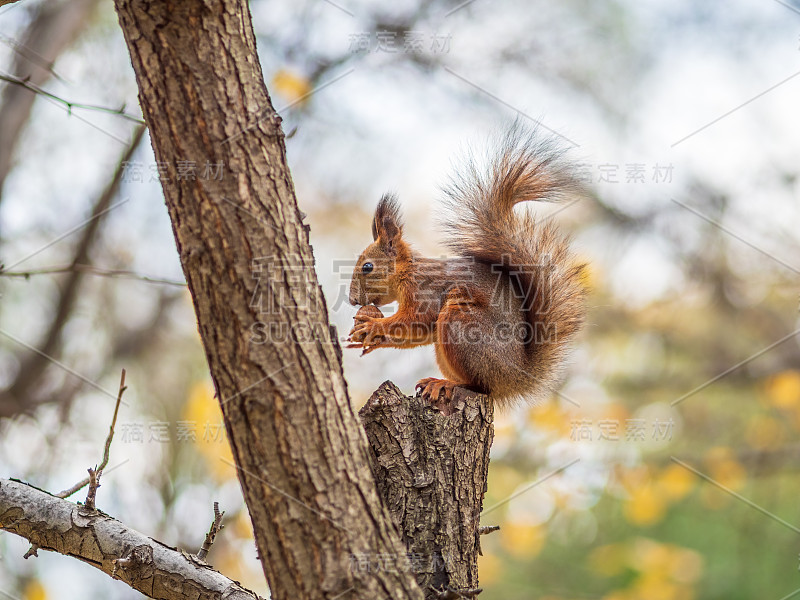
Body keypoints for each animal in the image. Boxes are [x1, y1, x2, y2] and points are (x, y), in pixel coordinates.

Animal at [346, 126, 588, 408]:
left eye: (367, 267)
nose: (352, 300)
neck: (408, 273)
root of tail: (516, 379)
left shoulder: (425, 291)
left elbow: (417, 321)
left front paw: (373, 327)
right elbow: (420, 333)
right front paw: (370, 339)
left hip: (461, 324)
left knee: (480, 385)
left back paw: (446, 383)